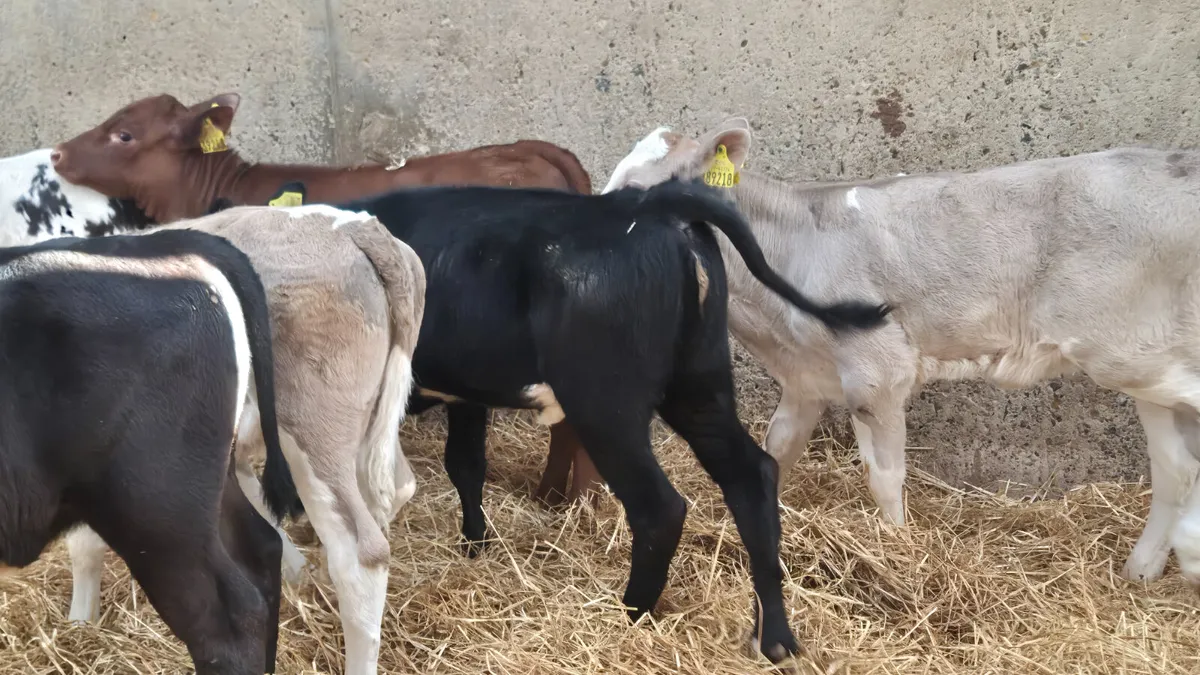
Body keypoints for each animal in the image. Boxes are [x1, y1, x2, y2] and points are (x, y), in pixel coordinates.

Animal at [58, 204, 426, 675]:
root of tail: (355, 224)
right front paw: (296, 571)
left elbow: (84, 545)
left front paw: (80, 623)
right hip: (366, 424)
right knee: (399, 486)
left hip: (309, 426)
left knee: (362, 555)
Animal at [601, 118, 1200, 590]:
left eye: (634, 189)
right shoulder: (805, 379)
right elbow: (777, 451)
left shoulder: (878, 371)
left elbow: (885, 477)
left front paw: (897, 551)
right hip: (1146, 360)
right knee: (1174, 466)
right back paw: (1143, 570)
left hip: (1125, 350)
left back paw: (1188, 549)